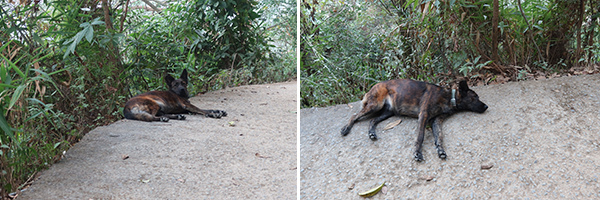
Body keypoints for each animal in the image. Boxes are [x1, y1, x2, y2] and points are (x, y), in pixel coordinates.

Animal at [342, 79, 488, 162]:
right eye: (475, 97)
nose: (486, 106)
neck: (448, 97)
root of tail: (374, 86)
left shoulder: (436, 121)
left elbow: (439, 136)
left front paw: (440, 150)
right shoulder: (423, 115)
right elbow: (420, 136)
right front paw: (417, 153)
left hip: (388, 112)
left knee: (372, 121)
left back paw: (372, 133)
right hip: (375, 105)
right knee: (354, 115)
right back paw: (346, 128)